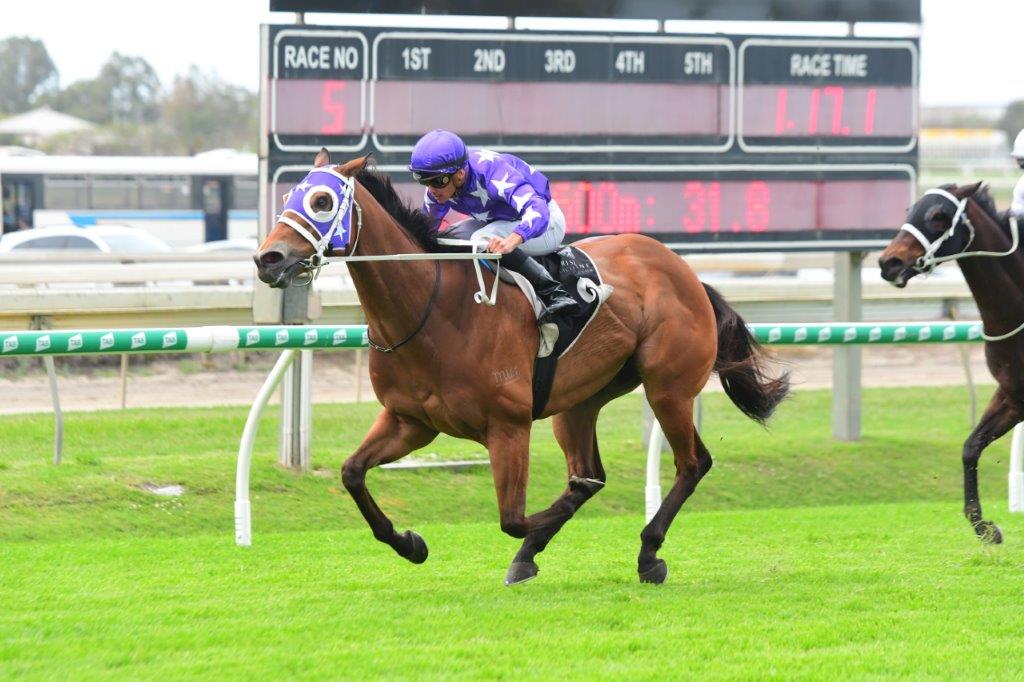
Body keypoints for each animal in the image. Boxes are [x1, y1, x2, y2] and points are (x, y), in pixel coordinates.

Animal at [251, 150, 786, 585]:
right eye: (290, 195)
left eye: (322, 200)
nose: (267, 258)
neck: (435, 307)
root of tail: (687, 273)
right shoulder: (409, 422)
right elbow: (352, 473)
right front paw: (410, 543)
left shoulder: (508, 426)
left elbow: (513, 519)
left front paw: (532, 538)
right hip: (579, 402)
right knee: (591, 474)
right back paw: (540, 554)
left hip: (667, 389)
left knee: (691, 463)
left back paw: (648, 553)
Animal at [880, 180, 1024, 540]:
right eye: (911, 210)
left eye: (937, 215)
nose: (889, 263)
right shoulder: (1013, 394)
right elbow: (971, 446)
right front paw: (984, 526)